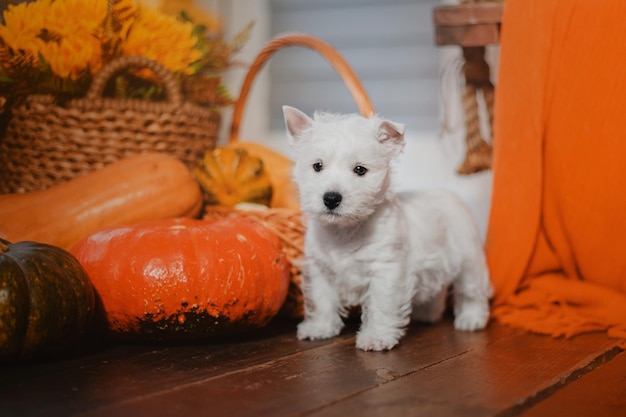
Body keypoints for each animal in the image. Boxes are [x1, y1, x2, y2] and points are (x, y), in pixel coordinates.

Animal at [282, 105, 492, 350]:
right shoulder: (320, 270)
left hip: (469, 260)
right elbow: (322, 300)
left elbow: (381, 306)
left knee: (471, 291)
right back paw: (427, 315)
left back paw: (470, 319)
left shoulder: (385, 270)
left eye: (360, 170)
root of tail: (453, 195)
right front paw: (320, 328)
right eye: (317, 166)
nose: (331, 198)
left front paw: (376, 337)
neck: (344, 231)